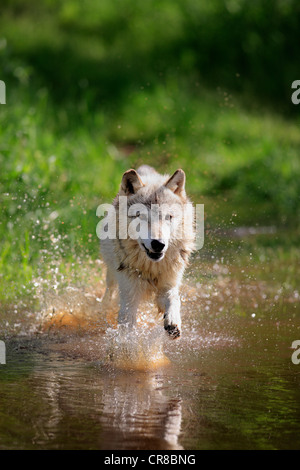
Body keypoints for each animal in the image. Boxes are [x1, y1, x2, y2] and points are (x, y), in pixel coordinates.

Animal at [99, 165, 196, 338]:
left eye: (168, 217)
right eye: (141, 216)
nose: (158, 244)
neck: (152, 268)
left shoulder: (169, 284)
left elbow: (174, 299)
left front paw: (173, 322)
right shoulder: (129, 294)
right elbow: (127, 321)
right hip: (112, 275)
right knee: (109, 291)